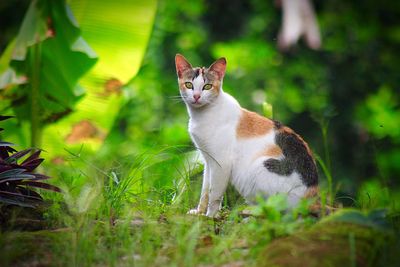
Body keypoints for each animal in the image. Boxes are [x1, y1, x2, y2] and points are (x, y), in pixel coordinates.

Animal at [175, 54, 318, 218]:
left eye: (207, 86)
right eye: (189, 85)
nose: (197, 96)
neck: (202, 115)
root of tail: (312, 199)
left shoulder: (221, 163)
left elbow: (215, 194)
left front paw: (210, 216)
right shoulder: (208, 160)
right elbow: (205, 190)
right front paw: (199, 212)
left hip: (259, 167)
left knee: (278, 212)